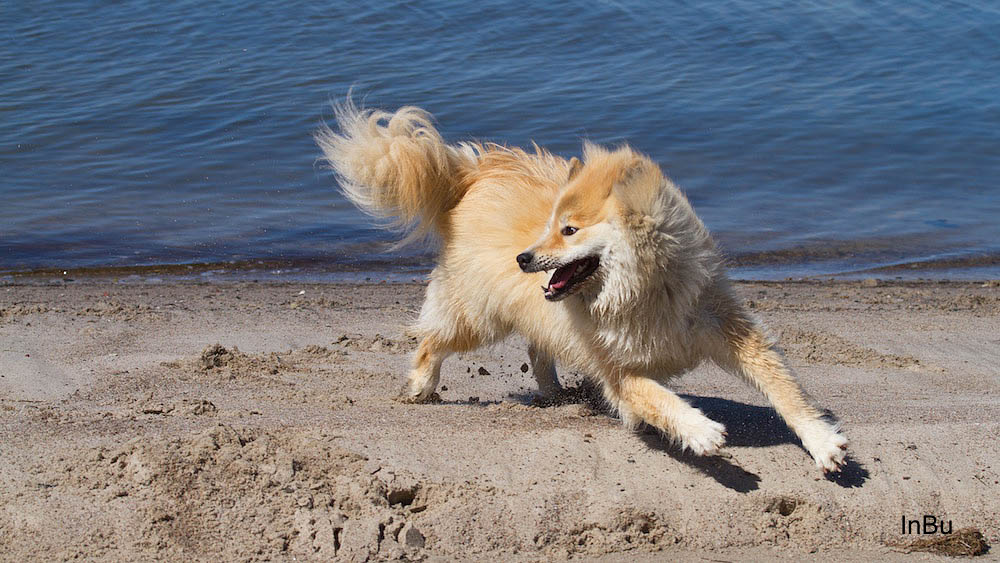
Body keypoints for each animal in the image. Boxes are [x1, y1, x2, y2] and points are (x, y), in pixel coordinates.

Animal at [316, 100, 848, 472]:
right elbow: (659, 398)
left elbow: (785, 388)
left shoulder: (733, 331)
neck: (646, 289)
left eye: (568, 229)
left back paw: (552, 391)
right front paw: (698, 430)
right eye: (550, 226)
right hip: (479, 316)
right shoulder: (617, 369)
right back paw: (422, 388)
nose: (523, 257)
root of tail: (472, 174)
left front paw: (821, 442)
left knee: (538, 345)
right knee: (431, 342)